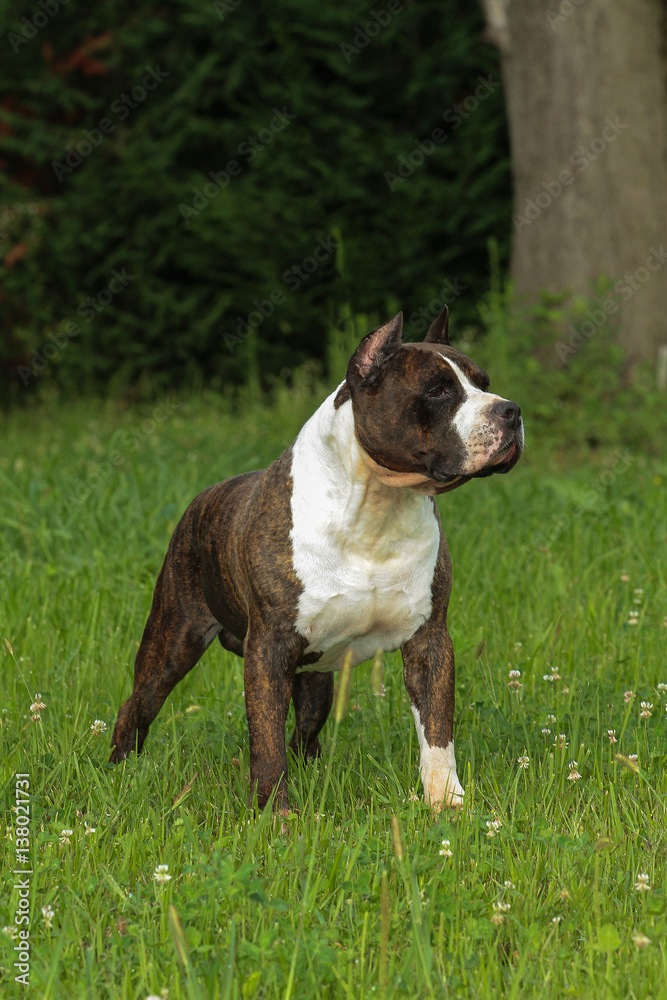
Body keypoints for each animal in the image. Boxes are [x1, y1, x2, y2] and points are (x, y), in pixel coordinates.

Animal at [112, 306, 524, 812]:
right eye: (437, 390)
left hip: (314, 678)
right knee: (138, 705)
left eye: (484, 383)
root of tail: (202, 498)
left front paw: (446, 801)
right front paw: (275, 814)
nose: (511, 410)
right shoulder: (268, 651)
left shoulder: (429, 642)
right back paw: (120, 770)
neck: (377, 506)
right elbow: (265, 740)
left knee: (304, 735)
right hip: (173, 640)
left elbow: (437, 732)